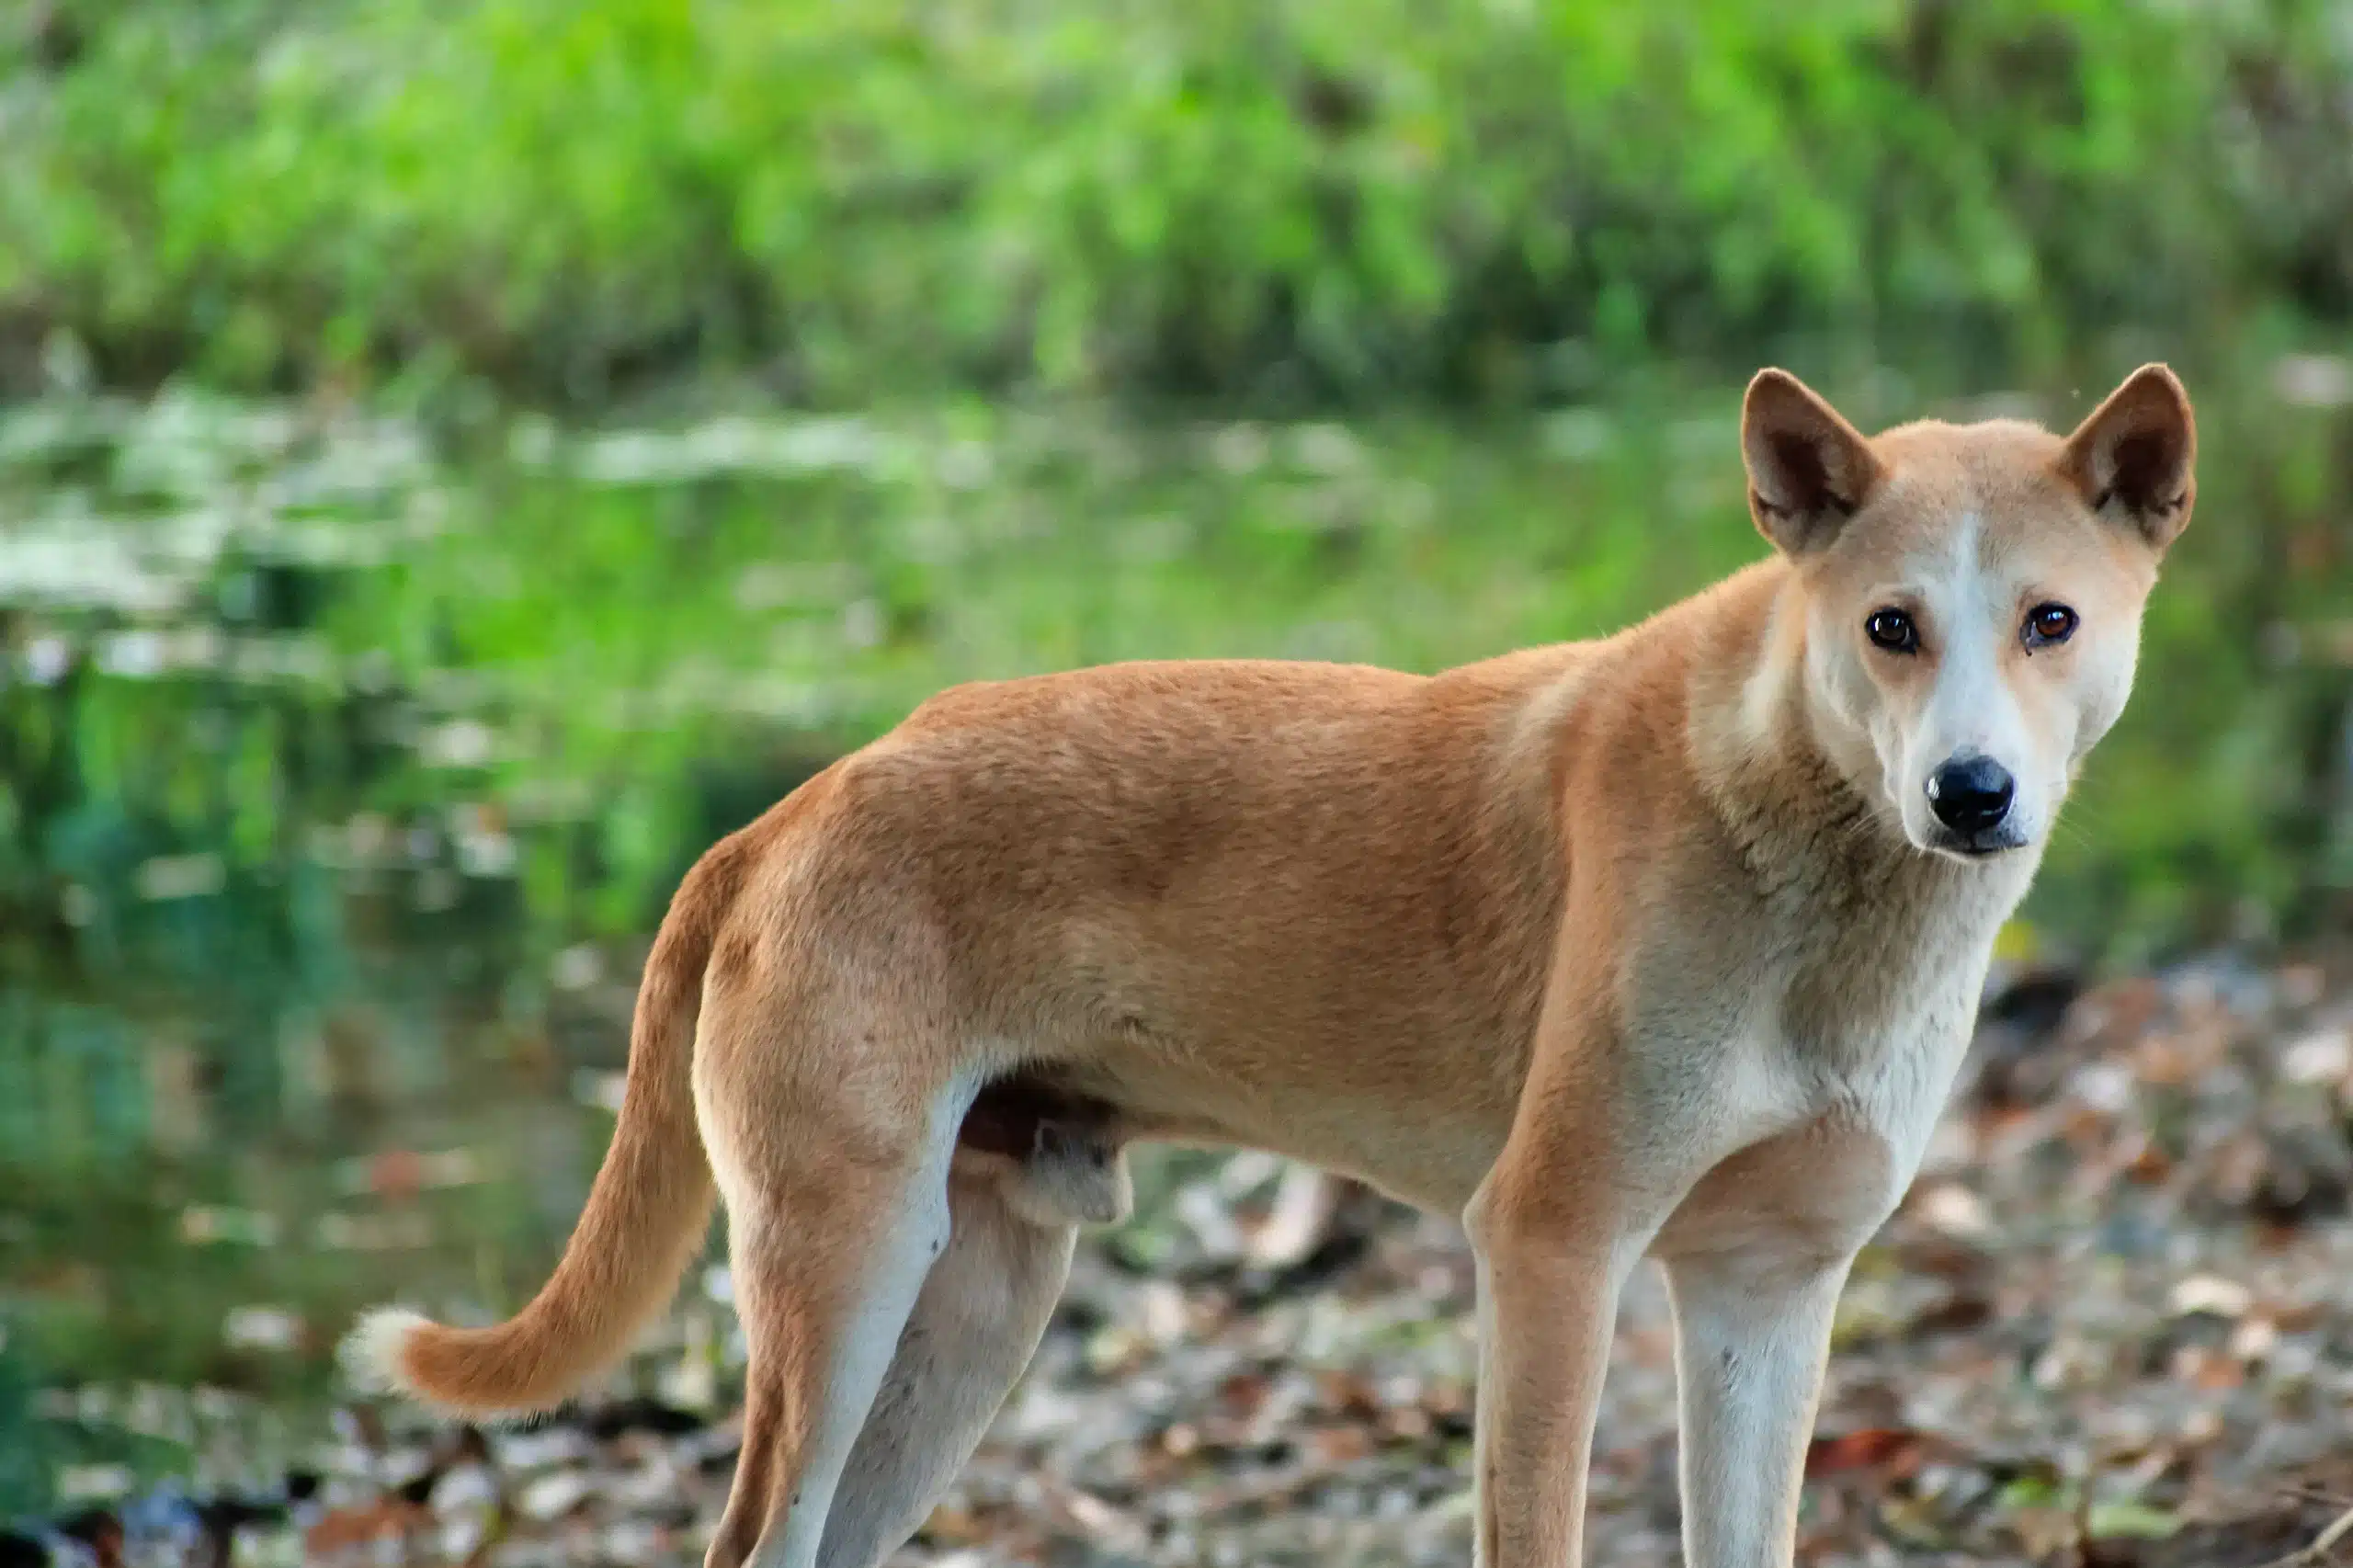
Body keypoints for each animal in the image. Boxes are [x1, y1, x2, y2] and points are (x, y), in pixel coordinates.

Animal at [341, 362, 2192, 1562]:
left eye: (2050, 622)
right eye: (1890, 629)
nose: (1972, 794)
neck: (1806, 846)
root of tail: (792, 807)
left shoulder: (1765, 1292)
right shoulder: (1553, 1249)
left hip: (971, 1311)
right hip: (847, 1280)